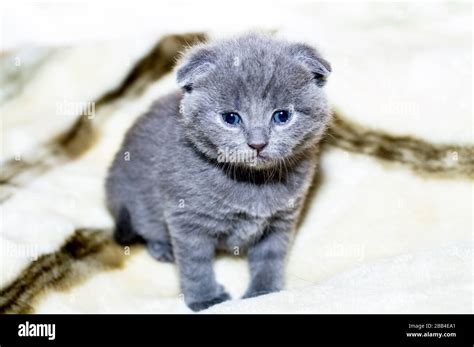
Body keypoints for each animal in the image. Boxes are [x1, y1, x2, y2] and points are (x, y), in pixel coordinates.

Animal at [106, 33, 332, 312]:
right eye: (231, 118)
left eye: (282, 115)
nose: (257, 144)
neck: (253, 181)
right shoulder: (187, 219)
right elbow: (195, 265)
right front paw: (206, 299)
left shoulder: (282, 219)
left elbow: (270, 257)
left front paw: (264, 294)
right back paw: (163, 248)